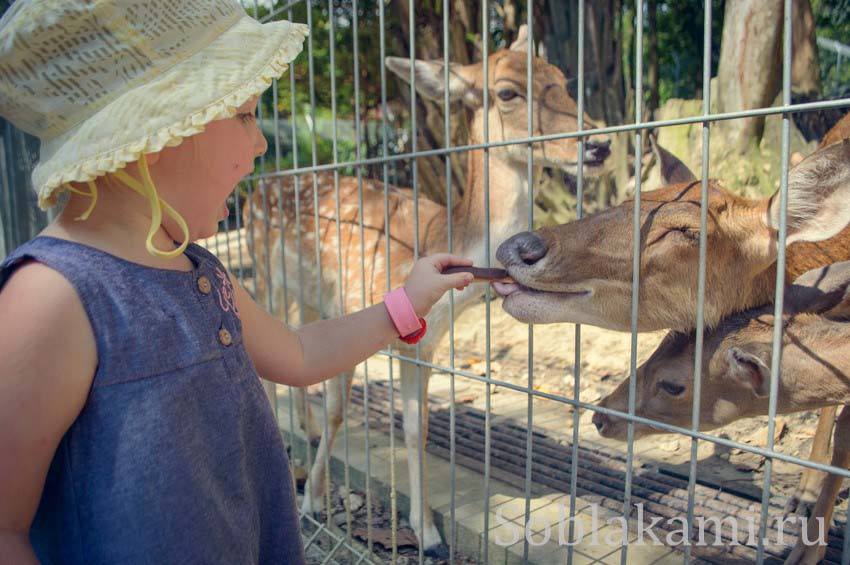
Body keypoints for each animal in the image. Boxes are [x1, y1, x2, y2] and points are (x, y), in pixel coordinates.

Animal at [242, 26, 608, 556]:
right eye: (507, 92)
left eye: (561, 77)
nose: (599, 145)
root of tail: (258, 187)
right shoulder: (352, 306)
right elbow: (338, 412)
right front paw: (313, 501)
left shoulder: (425, 346)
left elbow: (417, 429)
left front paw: (429, 533)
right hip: (265, 274)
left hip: (308, 295)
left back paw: (304, 432)